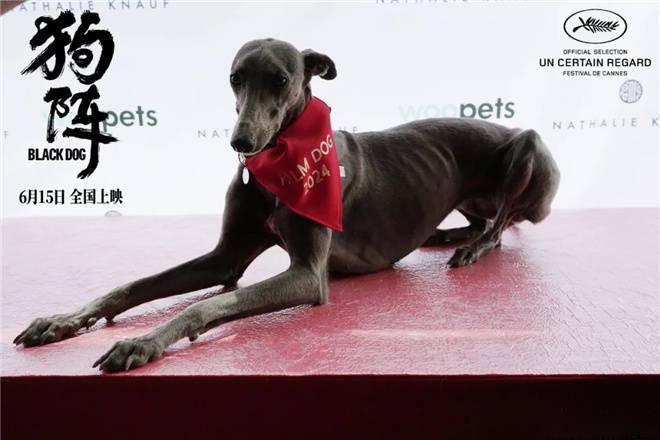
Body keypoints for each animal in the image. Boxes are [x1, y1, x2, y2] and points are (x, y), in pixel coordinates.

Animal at [12, 40, 560, 372]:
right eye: (235, 77)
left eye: (279, 79)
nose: (241, 142)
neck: (278, 167)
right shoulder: (226, 257)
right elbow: (133, 285)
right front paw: (61, 321)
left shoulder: (308, 275)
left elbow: (209, 303)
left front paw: (141, 343)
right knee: (482, 219)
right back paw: (444, 235)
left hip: (528, 146)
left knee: (500, 224)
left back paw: (471, 249)